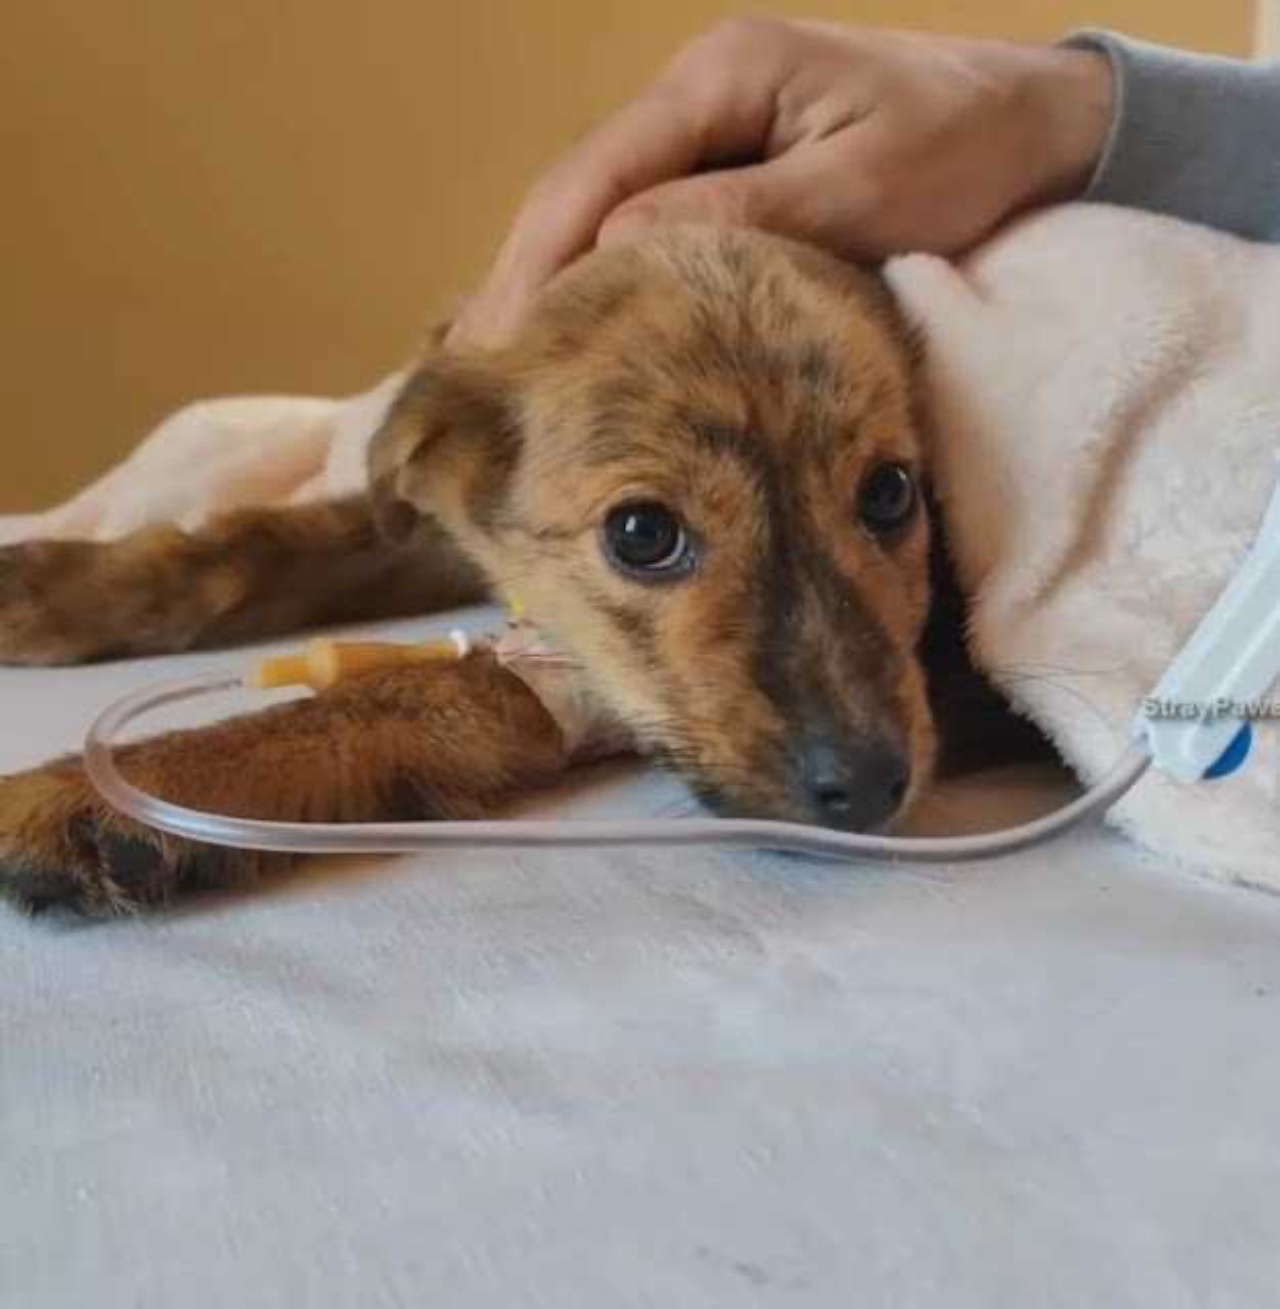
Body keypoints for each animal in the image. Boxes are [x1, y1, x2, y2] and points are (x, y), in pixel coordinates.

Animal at [0, 227, 1026, 911]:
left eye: (891, 492)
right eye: (642, 532)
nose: (867, 787)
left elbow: (446, 683)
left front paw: (127, 784)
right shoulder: (433, 518)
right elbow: (261, 544)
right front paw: (53, 587)